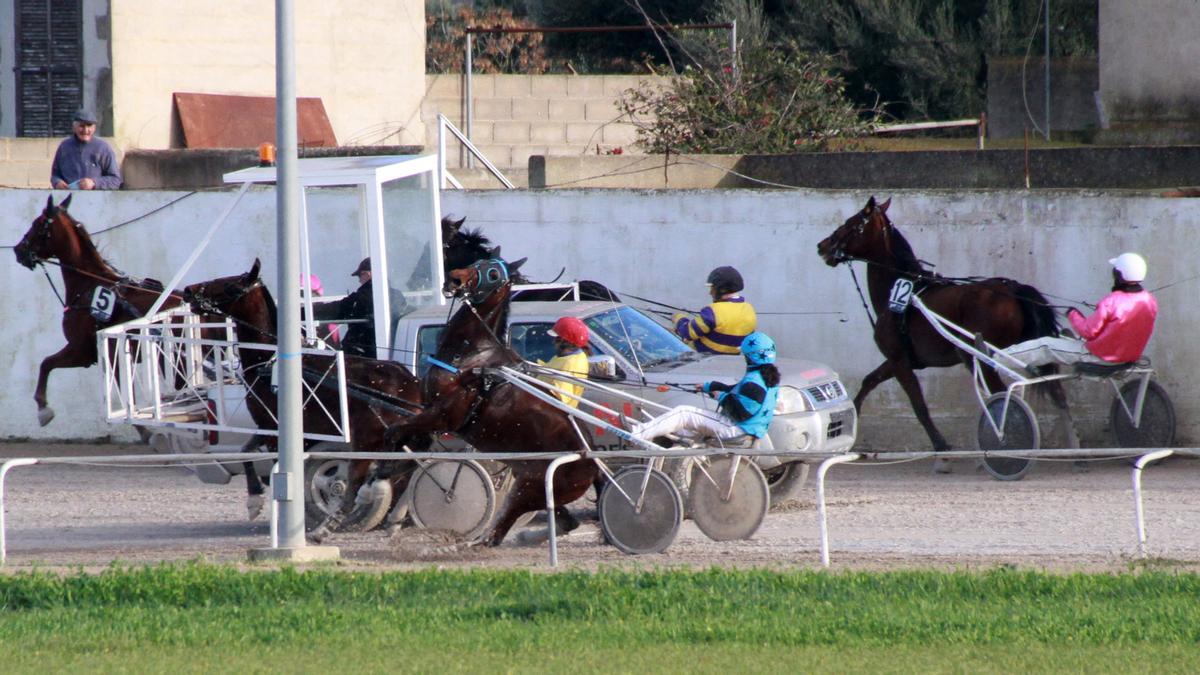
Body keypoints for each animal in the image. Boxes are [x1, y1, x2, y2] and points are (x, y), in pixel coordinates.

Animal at [11, 194, 181, 425]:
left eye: (37, 224)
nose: (18, 250)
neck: (89, 285)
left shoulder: (80, 351)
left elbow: (46, 363)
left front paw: (43, 408)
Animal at [175, 260, 424, 533]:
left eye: (230, 284)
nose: (189, 290)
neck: (271, 363)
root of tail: (411, 382)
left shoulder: (276, 431)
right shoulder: (268, 425)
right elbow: (246, 451)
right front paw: (254, 500)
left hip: (368, 440)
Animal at [384, 254, 600, 542]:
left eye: (494, 274)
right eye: (478, 261)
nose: (455, 277)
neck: (472, 359)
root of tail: (593, 462)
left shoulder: (444, 416)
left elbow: (396, 432)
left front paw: (384, 473)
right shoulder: (429, 412)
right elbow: (405, 435)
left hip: (530, 488)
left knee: (503, 527)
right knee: (565, 520)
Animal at [816, 196, 1060, 466]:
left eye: (852, 223)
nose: (822, 246)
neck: (902, 293)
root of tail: (1010, 289)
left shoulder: (899, 361)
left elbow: (919, 405)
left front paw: (941, 447)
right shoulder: (901, 359)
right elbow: (869, 381)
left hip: (978, 358)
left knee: (1000, 395)